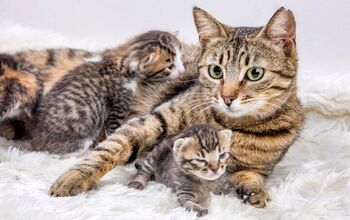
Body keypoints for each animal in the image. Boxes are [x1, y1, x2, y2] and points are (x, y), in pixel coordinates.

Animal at [29, 30, 187, 154]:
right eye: (170, 66)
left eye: (181, 57)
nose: (182, 71)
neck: (121, 61)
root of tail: (34, 140)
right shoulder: (119, 104)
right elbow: (114, 130)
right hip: (82, 136)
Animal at [49, 6, 304, 210]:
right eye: (216, 71)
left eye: (255, 73)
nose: (227, 97)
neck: (236, 126)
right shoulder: (153, 120)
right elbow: (111, 148)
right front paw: (73, 177)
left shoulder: (257, 168)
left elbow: (250, 175)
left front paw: (255, 191)